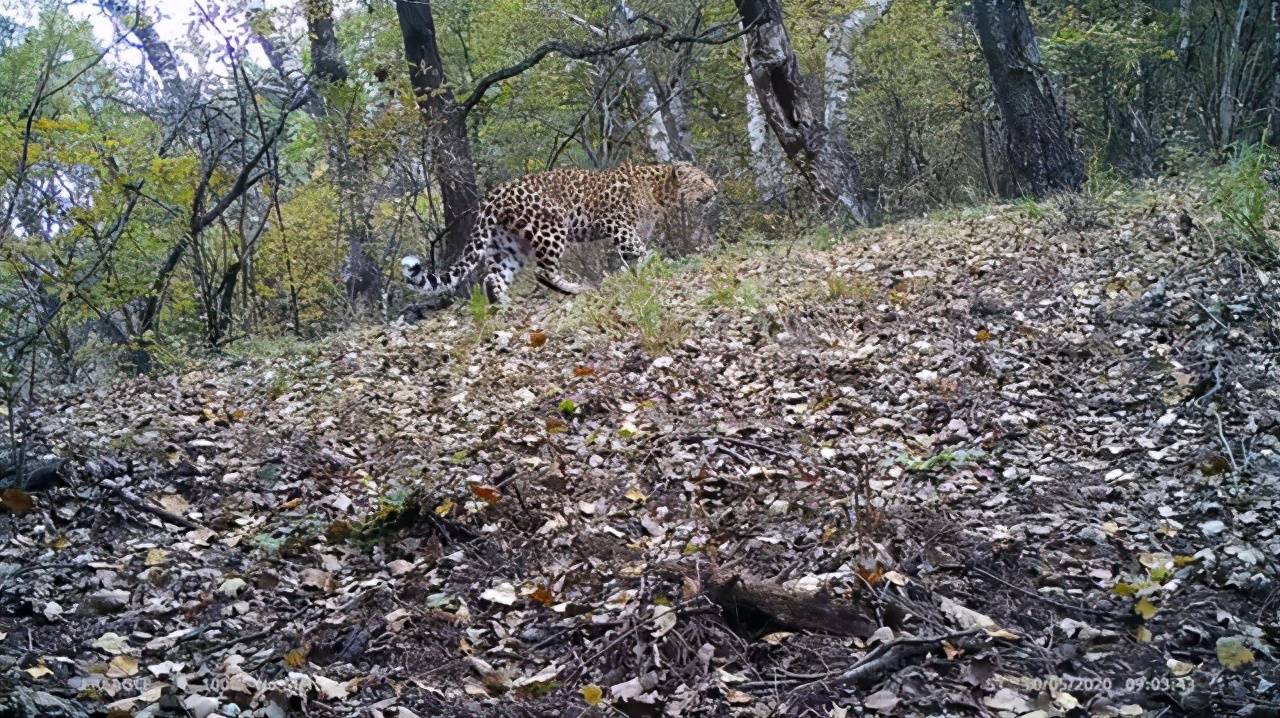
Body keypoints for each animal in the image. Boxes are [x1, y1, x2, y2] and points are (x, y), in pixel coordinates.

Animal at [401, 161, 716, 302]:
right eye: (702, 180)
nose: (715, 190)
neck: (660, 191)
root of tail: (492, 196)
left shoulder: (635, 228)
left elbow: (632, 254)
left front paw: (636, 271)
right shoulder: (614, 222)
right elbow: (636, 247)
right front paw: (652, 260)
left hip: (508, 246)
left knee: (494, 276)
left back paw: (502, 304)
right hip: (550, 228)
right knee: (544, 271)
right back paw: (574, 288)